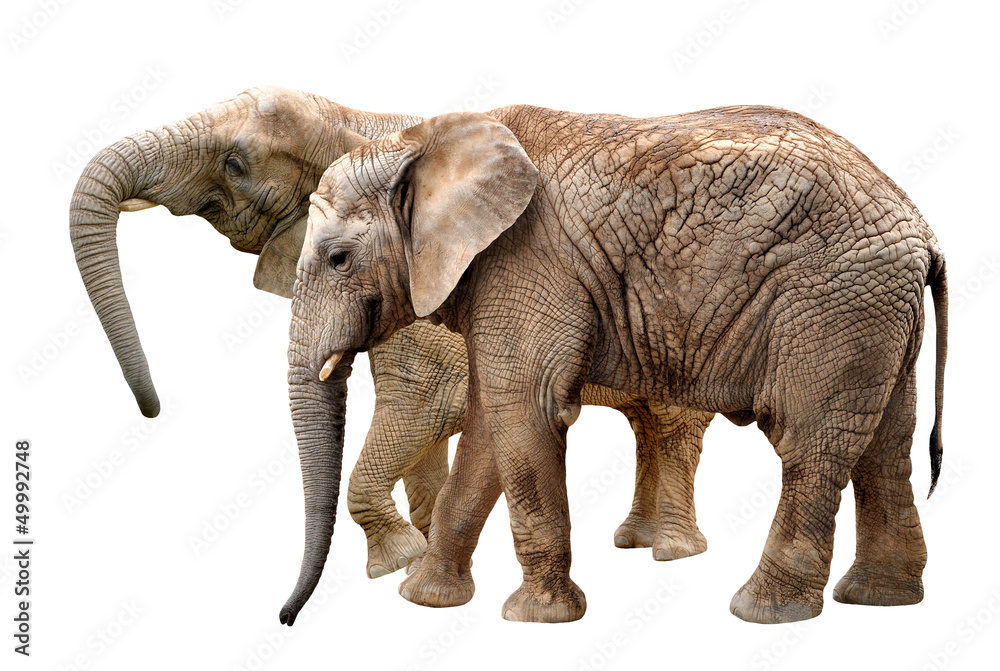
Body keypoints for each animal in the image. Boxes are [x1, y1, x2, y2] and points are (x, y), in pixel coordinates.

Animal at [68, 87, 713, 592]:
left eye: (235, 163)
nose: (152, 409)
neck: (360, 121)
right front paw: (422, 555)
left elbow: (423, 406)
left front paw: (398, 562)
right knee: (647, 421)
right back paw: (635, 540)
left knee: (674, 426)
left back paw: (672, 551)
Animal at [291, 106, 949, 625]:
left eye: (339, 258)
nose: (288, 619)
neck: (420, 142)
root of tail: (922, 230)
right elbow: (488, 422)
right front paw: (424, 600)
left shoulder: (528, 262)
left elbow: (525, 408)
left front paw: (537, 618)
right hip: (876, 312)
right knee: (887, 444)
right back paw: (879, 601)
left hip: (832, 303)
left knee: (809, 441)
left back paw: (761, 612)